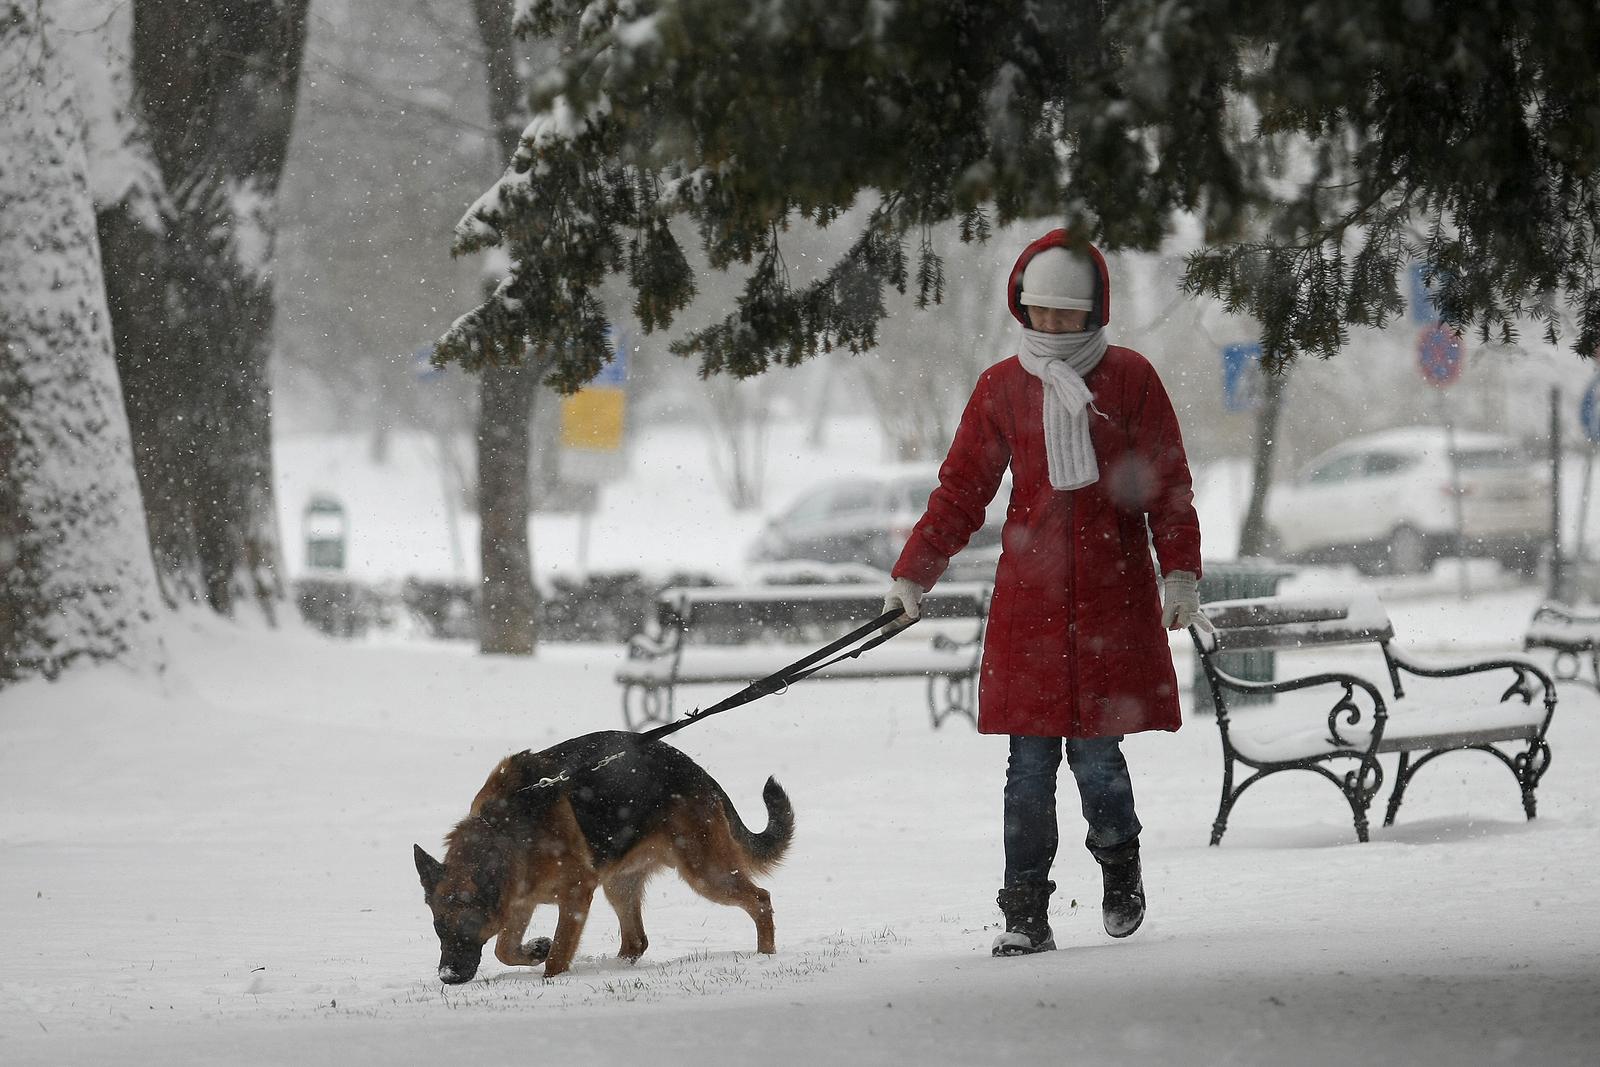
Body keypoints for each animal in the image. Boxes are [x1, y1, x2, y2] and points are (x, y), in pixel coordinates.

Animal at [412, 735, 787, 985]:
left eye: (470, 925)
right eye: (438, 927)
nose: (447, 976)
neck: (502, 827)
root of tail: (701, 775)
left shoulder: (577, 893)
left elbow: (559, 952)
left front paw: (551, 972)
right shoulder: (520, 901)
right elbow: (503, 949)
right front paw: (536, 949)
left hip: (706, 874)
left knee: (761, 899)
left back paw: (766, 955)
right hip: (620, 885)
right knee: (636, 941)